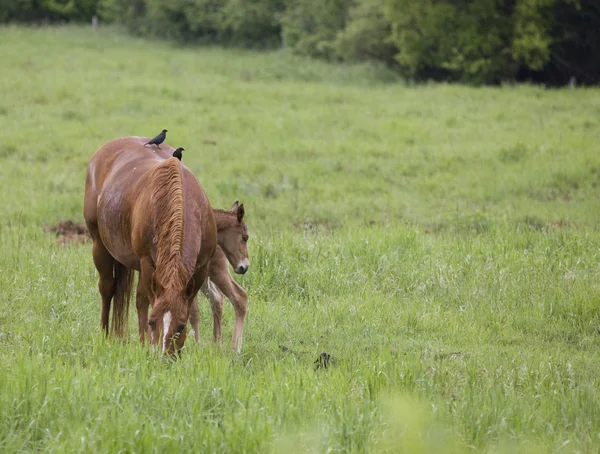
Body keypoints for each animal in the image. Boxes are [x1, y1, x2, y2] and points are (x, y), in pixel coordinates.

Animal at [82, 137, 218, 356]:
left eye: (181, 327)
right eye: (152, 322)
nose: (163, 356)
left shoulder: (200, 269)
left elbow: (188, 306)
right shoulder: (147, 264)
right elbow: (143, 301)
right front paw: (145, 342)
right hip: (99, 246)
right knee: (107, 288)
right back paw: (104, 333)